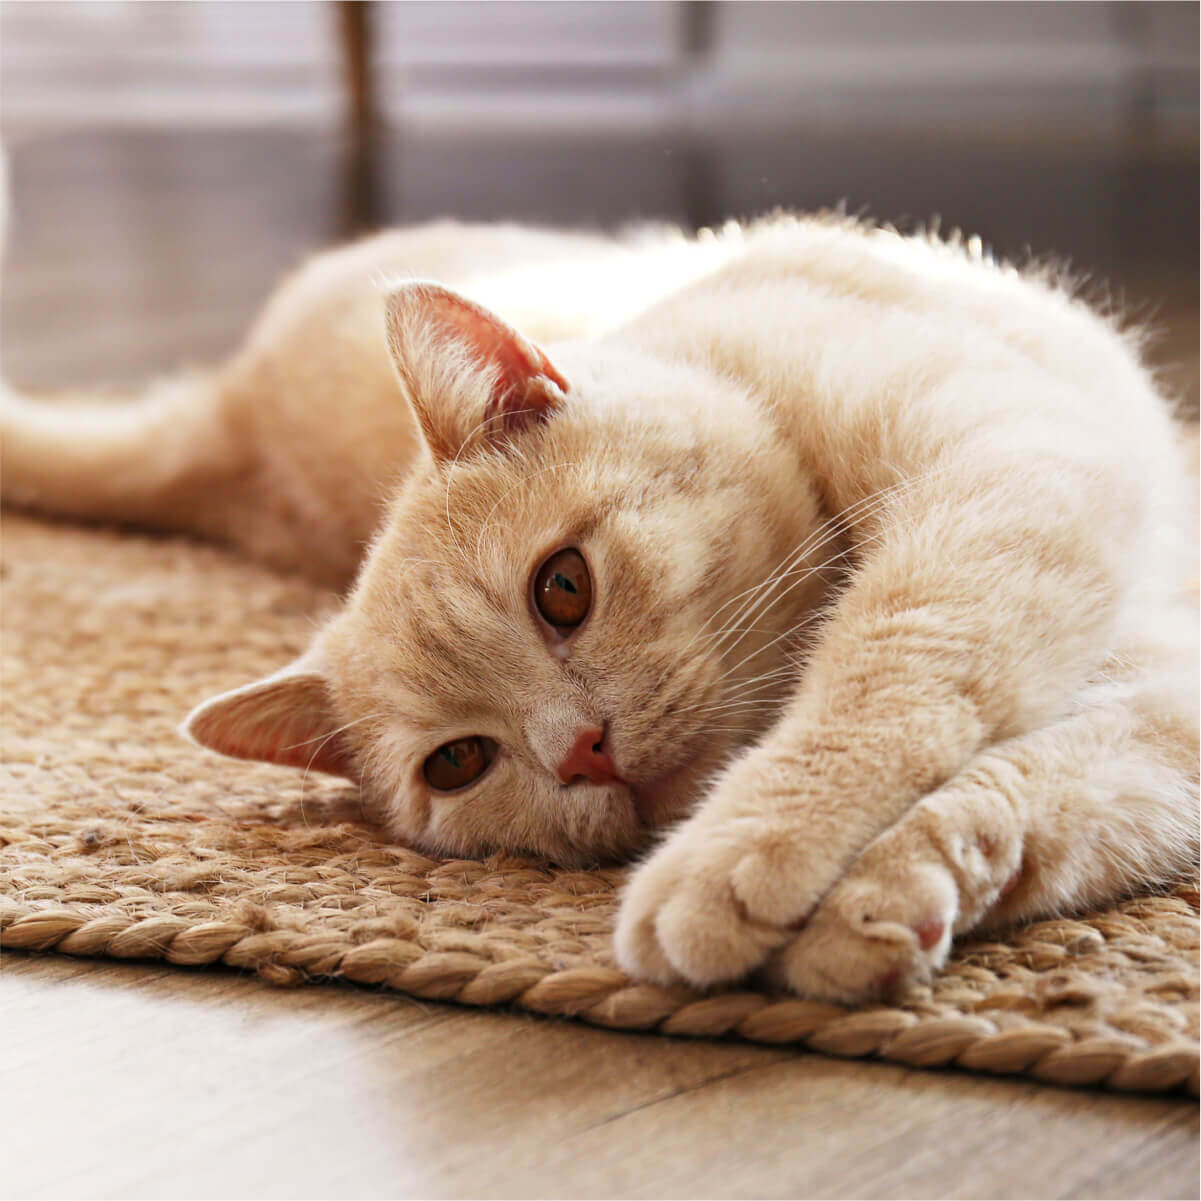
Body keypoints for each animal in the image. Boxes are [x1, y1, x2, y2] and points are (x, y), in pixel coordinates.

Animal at [4, 208, 1196, 1004]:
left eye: (562, 588)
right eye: (459, 763)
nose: (581, 750)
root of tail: (235, 414)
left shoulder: (1012, 477)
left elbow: (890, 672)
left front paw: (739, 860)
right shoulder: (1159, 719)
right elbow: (1028, 796)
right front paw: (881, 898)